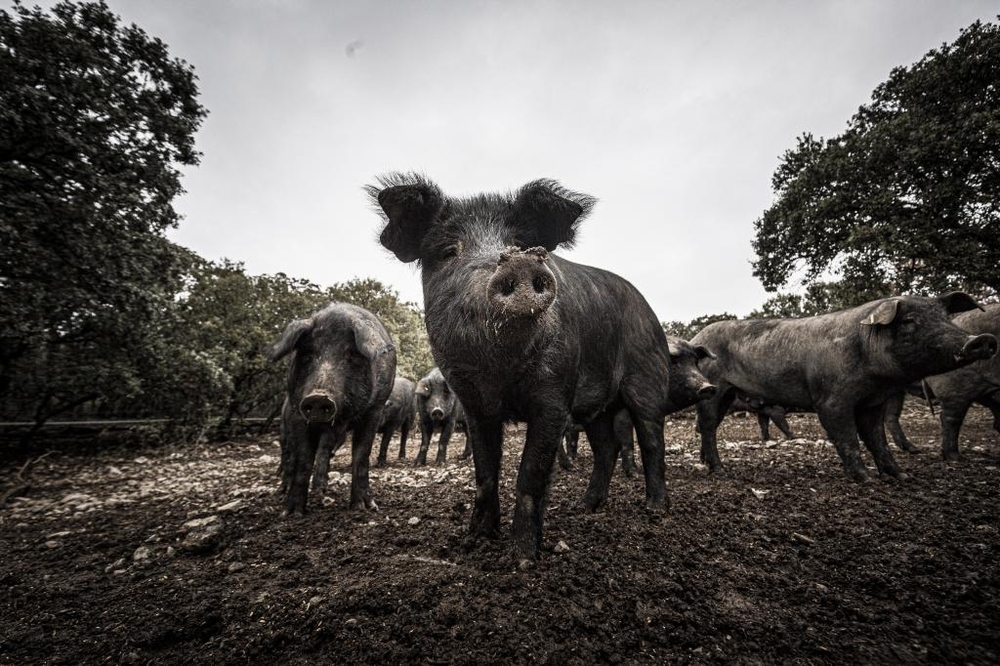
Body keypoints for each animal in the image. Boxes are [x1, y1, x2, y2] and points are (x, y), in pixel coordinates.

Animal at [268, 300, 396, 512]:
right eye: (308, 354)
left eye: (350, 354)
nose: (318, 397)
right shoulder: (297, 410)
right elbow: (303, 459)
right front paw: (291, 512)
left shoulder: (374, 410)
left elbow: (361, 454)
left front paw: (365, 507)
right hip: (284, 428)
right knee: (288, 455)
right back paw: (284, 490)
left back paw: (321, 489)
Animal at [372, 172, 692, 560]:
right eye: (448, 251)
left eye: (520, 243)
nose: (518, 262)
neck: (499, 373)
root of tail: (650, 313)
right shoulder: (472, 403)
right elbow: (485, 470)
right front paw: (476, 539)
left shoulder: (555, 394)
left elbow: (531, 473)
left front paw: (523, 558)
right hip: (597, 405)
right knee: (606, 448)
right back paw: (586, 507)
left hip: (647, 377)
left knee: (651, 439)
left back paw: (655, 509)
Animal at [692, 294, 996, 480]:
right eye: (910, 321)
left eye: (945, 317)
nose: (981, 339)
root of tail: (697, 337)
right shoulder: (831, 399)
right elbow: (847, 436)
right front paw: (866, 479)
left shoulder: (874, 402)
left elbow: (876, 437)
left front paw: (900, 475)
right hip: (716, 387)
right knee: (707, 426)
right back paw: (719, 469)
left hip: (727, 394)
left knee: (711, 426)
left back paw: (706, 462)